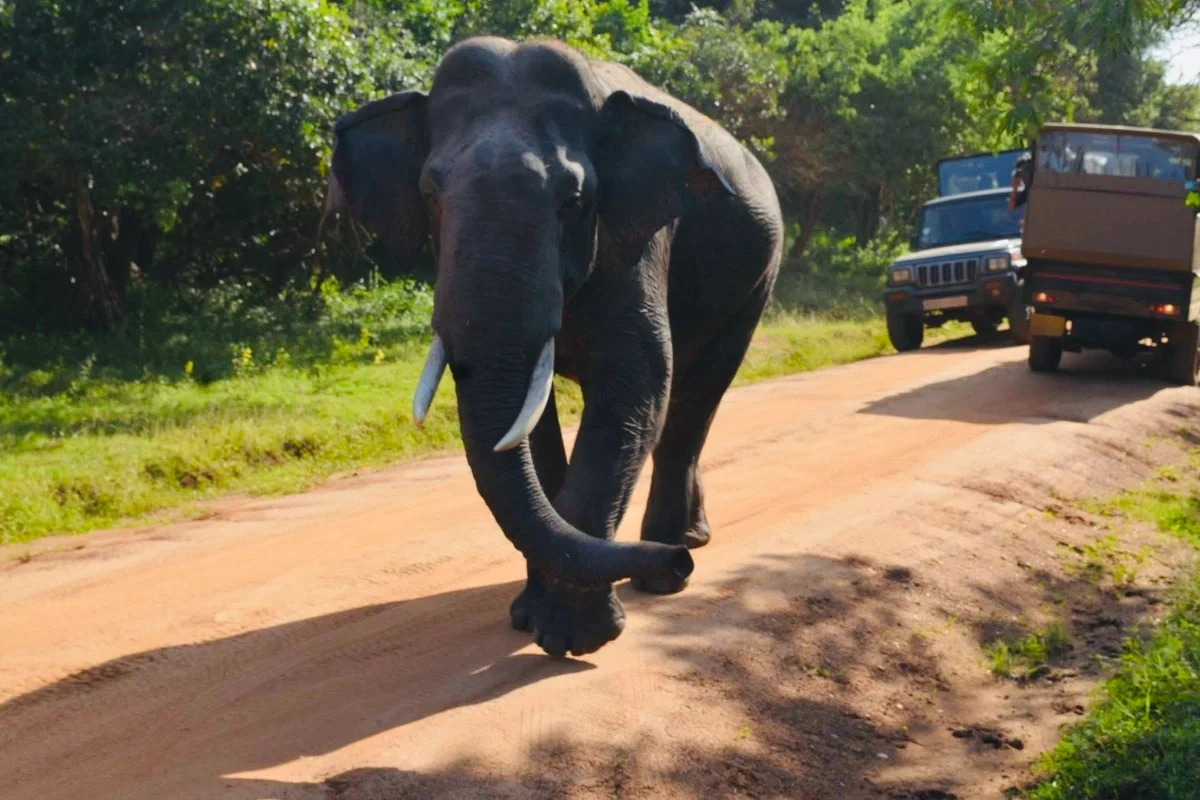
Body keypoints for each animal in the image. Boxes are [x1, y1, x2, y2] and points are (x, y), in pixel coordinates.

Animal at [325, 36, 783, 658]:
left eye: (574, 199)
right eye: (430, 196)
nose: (678, 564)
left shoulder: (634, 240)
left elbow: (633, 389)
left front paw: (573, 639)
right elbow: (527, 426)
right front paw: (527, 618)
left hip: (756, 282)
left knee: (693, 399)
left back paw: (669, 564)